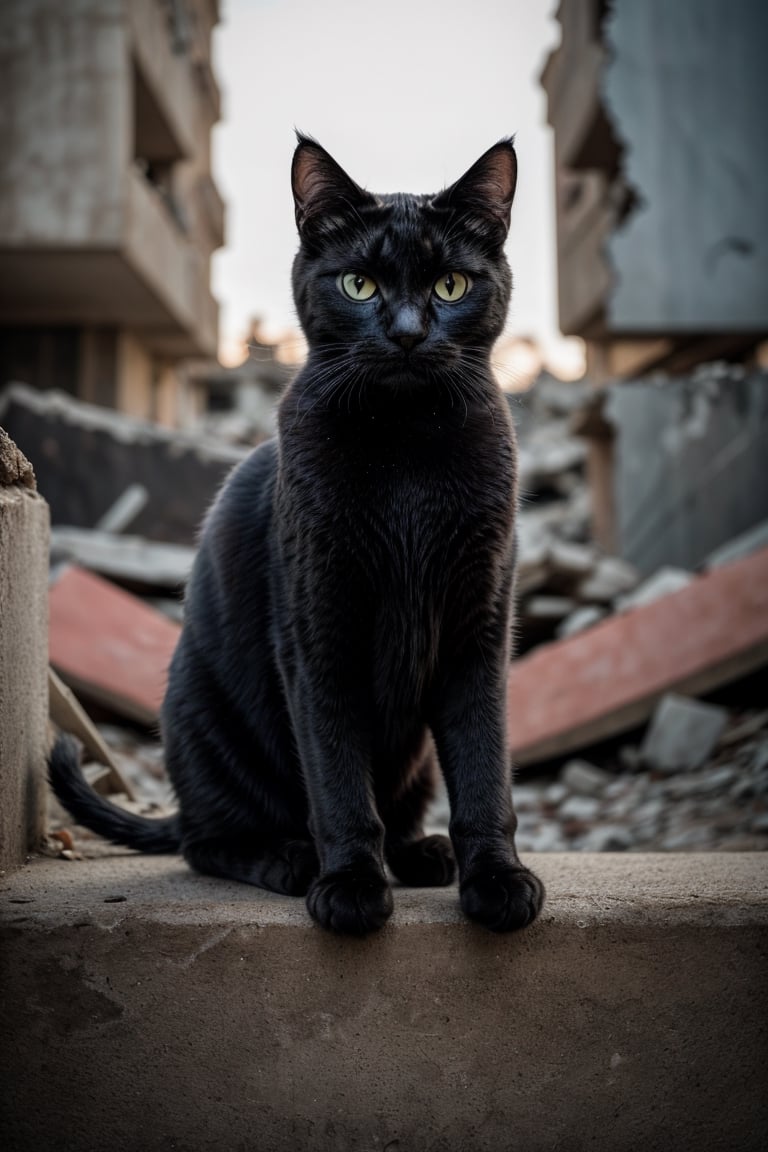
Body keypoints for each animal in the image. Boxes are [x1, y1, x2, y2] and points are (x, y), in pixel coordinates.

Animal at [48, 134, 545, 935]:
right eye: (359, 285)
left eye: (449, 286)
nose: (407, 334)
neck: (407, 450)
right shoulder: (318, 628)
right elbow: (338, 780)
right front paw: (348, 886)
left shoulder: (479, 629)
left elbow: (483, 769)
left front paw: (498, 880)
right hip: (200, 711)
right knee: (205, 839)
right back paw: (288, 860)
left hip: (411, 756)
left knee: (394, 812)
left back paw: (423, 854)